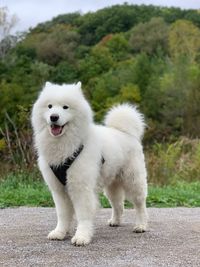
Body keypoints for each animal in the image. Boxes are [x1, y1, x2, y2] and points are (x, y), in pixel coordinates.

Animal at [30, 82, 147, 247]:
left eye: (65, 107)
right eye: (50, 106)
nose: (54, 117)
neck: (67, 147)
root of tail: (125, 132)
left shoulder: (81, 188)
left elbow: (83, 216)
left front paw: (82, 236)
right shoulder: (59, 190)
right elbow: (62, 214)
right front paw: (60, 232)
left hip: (133, 181)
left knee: (140, 204)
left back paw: (141, 225)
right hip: (112, 185)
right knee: (118, 204)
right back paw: (115, 221)